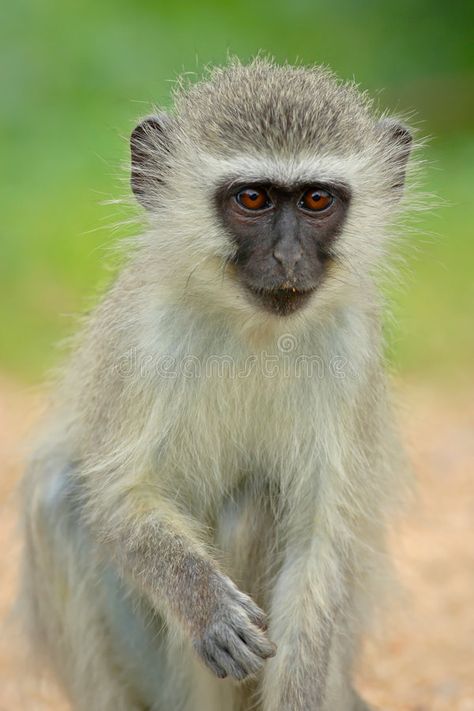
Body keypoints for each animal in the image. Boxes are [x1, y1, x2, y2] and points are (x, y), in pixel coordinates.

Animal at [21, 61, 414, 711]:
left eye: (316, 199)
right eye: (252, 198)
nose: (287, 258)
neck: (253, 329)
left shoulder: (353, 347)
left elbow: (321, 538)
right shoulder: (140, 334)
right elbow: (116, 496)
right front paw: (207, 606)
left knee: (255, 501)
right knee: (58, 497)